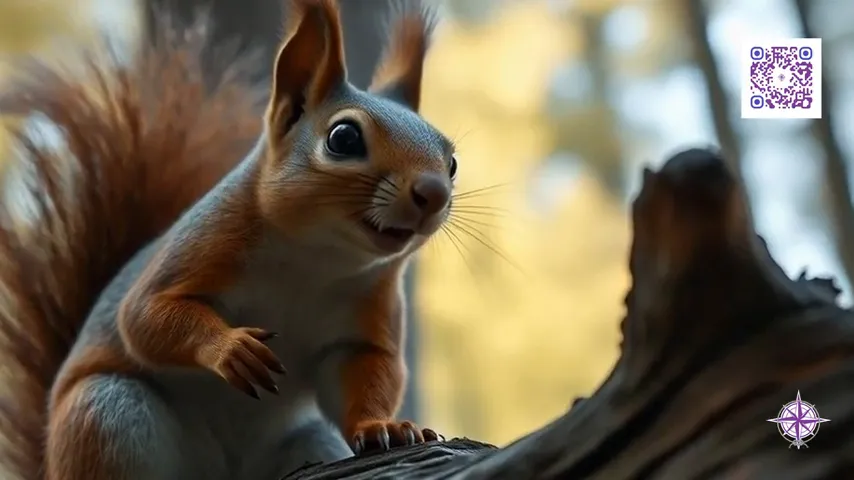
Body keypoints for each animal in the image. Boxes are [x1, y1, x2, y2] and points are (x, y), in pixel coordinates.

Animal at [0, 1, 455, 479]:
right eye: (343, 137)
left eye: (452, 162)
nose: (434, 193)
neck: (316, 260)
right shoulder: (206, 244)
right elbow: (145, 315)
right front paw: (230, 348)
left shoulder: (364, 317)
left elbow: (364, 373)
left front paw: (386, 426)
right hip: (106, 415)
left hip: (306, 441)